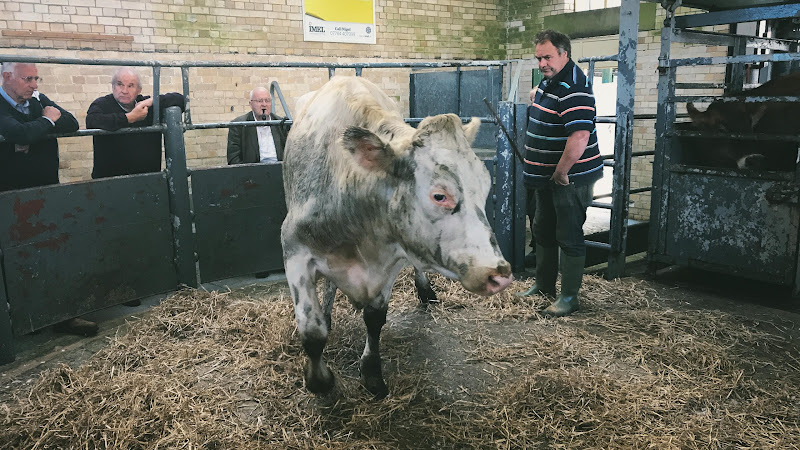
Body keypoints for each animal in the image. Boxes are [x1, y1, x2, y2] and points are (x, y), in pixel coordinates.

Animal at [281, 76, 513, 398]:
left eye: (487, 186)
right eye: (439, 195)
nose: (498, 273)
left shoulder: (391, 256)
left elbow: (375, 318)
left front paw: (372, 373)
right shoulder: (295, 250)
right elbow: (312, 331)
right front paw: (320, 381)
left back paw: (426, 291)